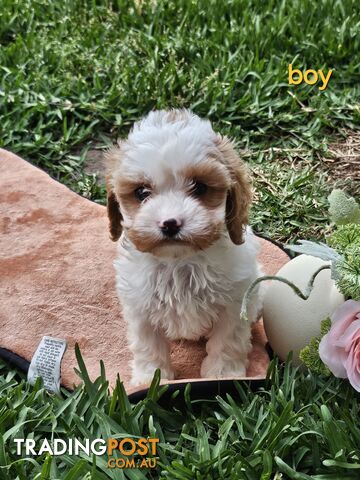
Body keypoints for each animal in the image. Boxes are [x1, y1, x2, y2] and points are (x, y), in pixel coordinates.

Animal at [104, 109, 262, 386]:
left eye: (200, 187)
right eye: (142, 192)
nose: (169, 223)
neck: (180, 261)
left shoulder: (235, 303)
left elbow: (227, 341)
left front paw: (223, 373)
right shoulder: (140, 307)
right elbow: (148, 345)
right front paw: (151, 378)